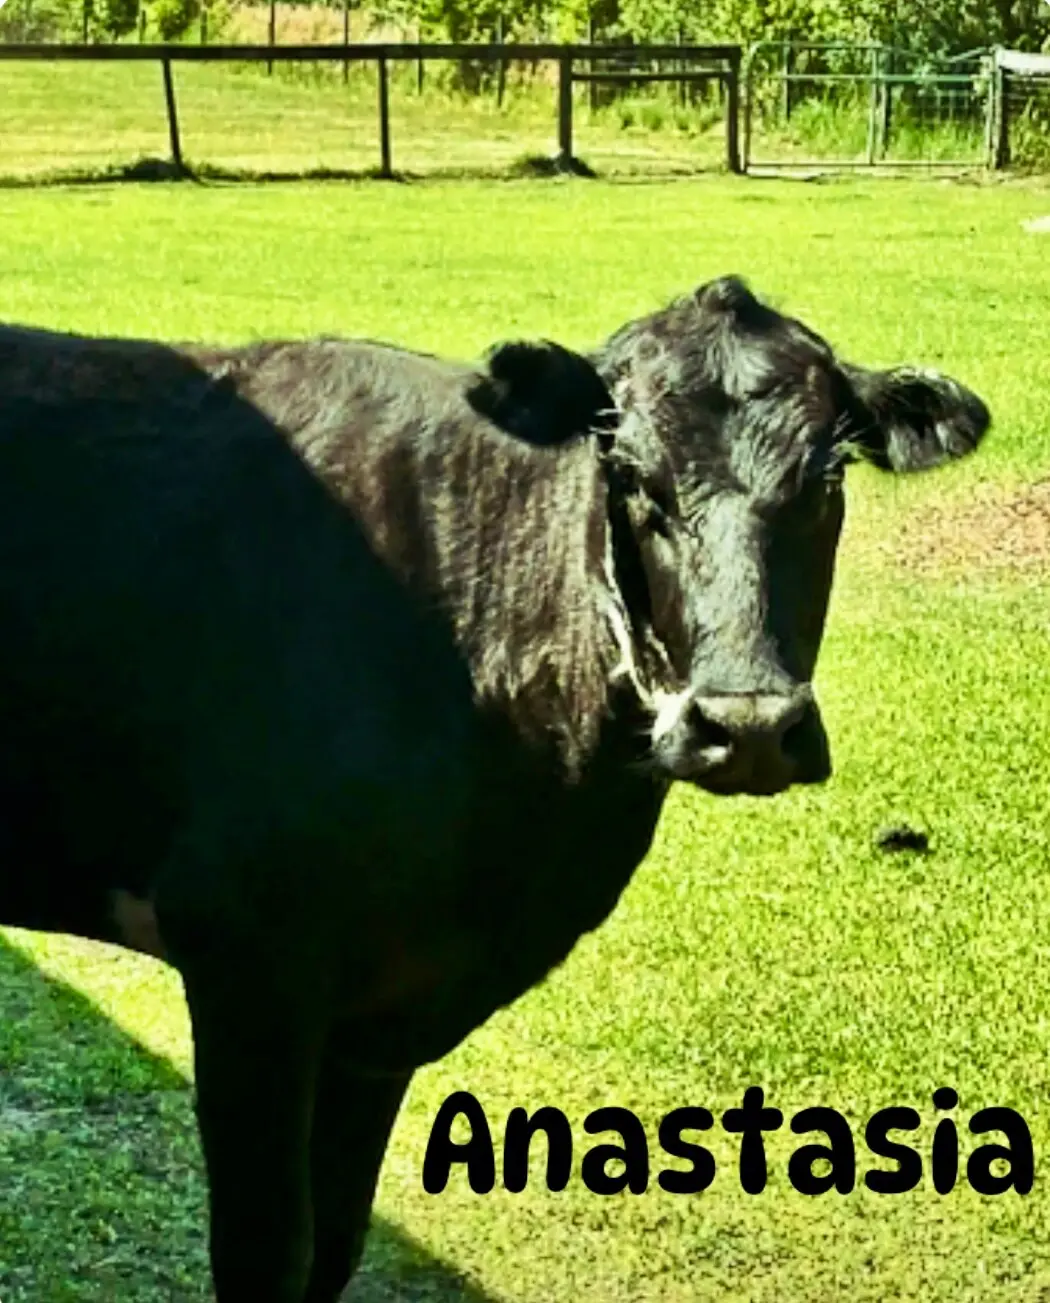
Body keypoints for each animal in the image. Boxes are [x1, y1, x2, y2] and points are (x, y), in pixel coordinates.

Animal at [0, 276, 989, 1302]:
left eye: (829, 478)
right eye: (630, 476)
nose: (747, 726)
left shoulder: (382, 1015)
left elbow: (335, 1244)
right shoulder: (244, 953)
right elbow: (270, 1253)